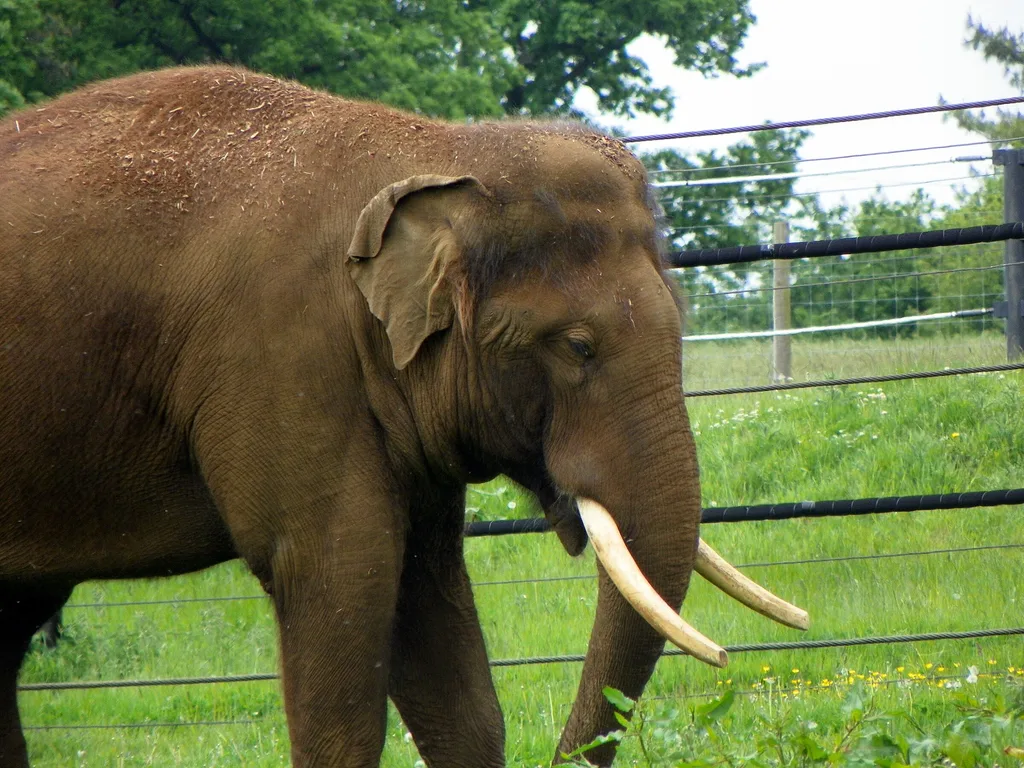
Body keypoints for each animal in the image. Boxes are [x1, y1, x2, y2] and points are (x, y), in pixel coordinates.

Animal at [0, 67, 807, 767]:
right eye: (578, 347)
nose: (729, 654)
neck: (437, 156)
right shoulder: (279, 355)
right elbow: (340, 572)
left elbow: (435, 609)